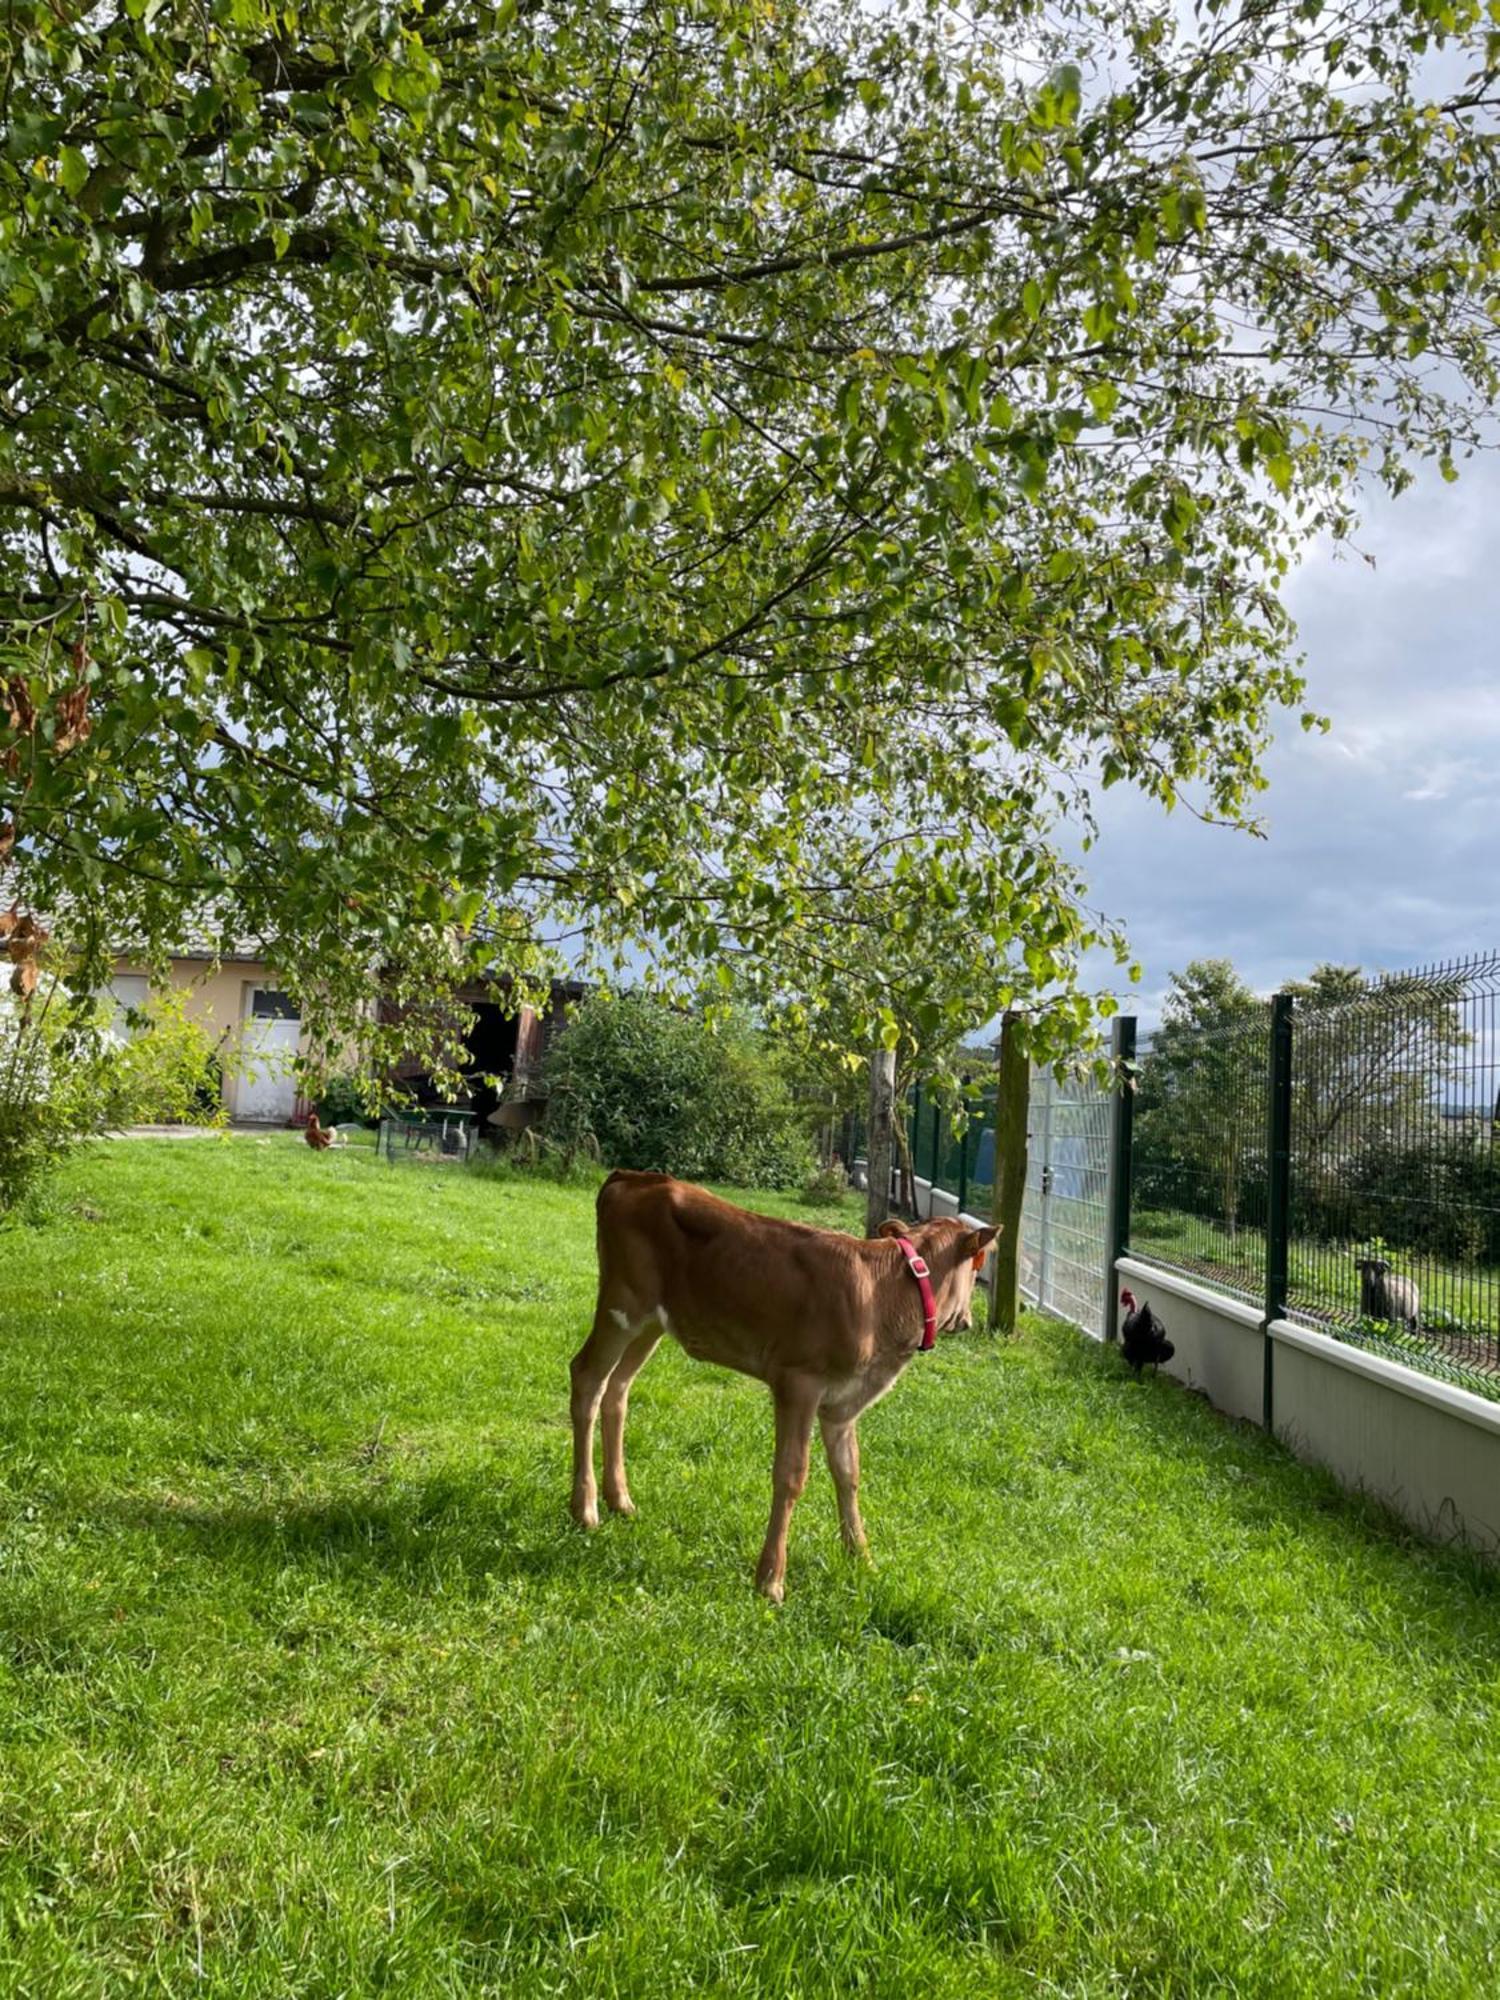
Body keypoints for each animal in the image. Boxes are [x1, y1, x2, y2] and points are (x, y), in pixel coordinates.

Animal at [568, 1176, 1000, 1600]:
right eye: (978, 1265)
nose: (967, 1320)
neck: (884, 1294)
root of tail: (629, 1178)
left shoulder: (842, 1405)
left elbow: (849, 1473)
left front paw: (862, 1558)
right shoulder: (798, 1382)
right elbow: (791, 1475)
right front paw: (771, 1579)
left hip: (652, 1323)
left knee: (618, 1388)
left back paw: (619, 1499)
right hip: (621, 1307)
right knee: (587, 1378)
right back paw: (584, 1508)